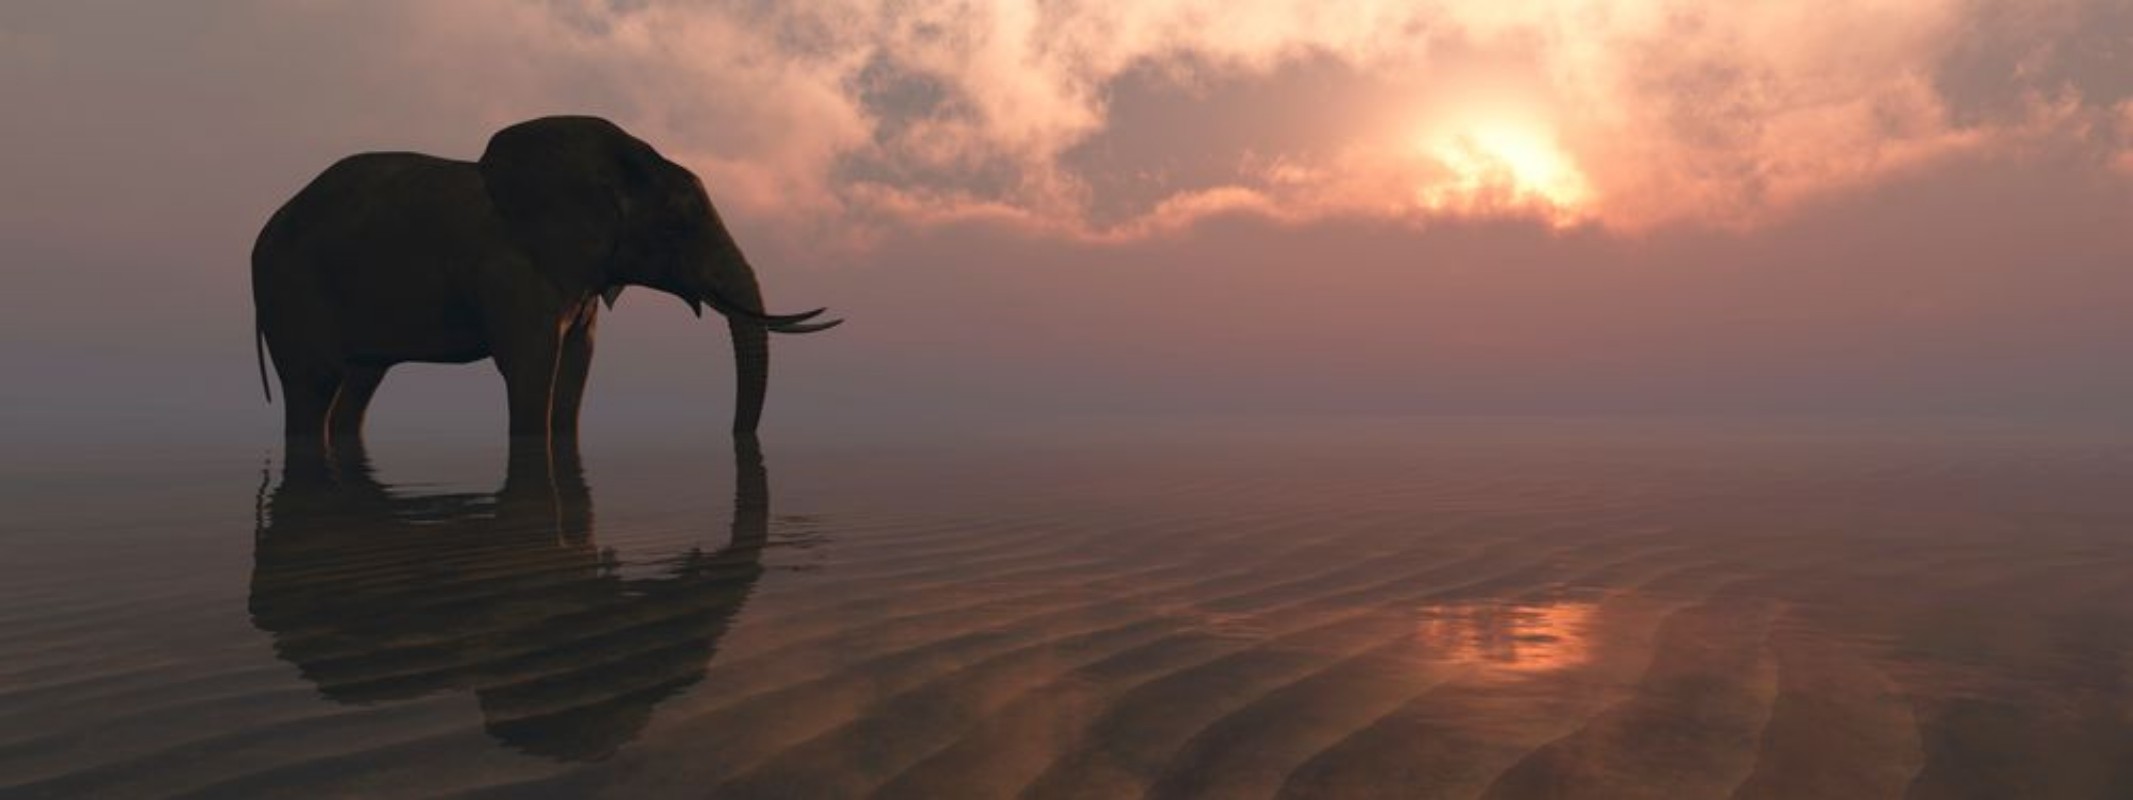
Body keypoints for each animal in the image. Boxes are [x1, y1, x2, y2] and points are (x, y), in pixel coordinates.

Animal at [251, 115, 838, 443]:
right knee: (315, 384)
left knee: (358, 383)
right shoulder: (515, 273)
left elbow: (576, 370)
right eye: (676, 224)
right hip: (293, 290)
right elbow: (532, 368)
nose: (735, 439)